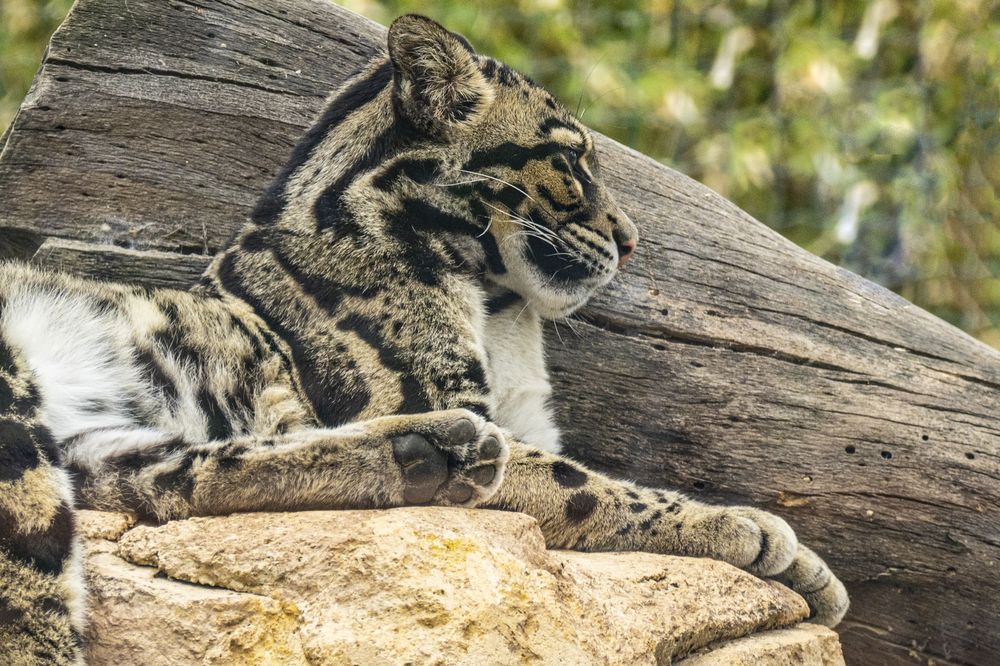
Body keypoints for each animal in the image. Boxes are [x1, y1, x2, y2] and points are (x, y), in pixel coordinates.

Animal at [0, 14, 848, 664]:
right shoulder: (448, 397)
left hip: (118, 448)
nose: (635, 242)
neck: (504, 310)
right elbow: (588, 485)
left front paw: (796, 558)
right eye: (569, 160)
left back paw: (427, 455)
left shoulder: (516, 415)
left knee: (192, 477)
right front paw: (754, 530)